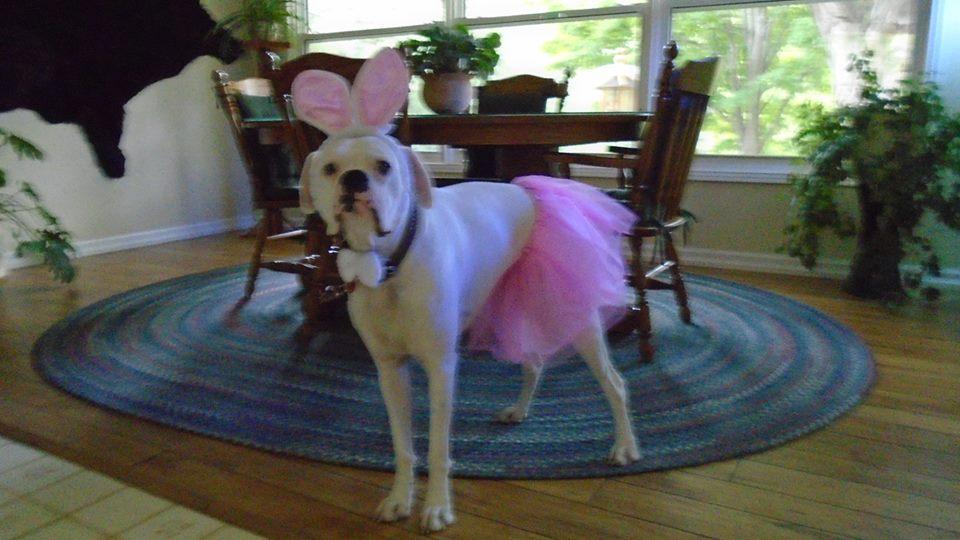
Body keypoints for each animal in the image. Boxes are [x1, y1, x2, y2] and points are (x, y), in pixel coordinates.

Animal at [292, 49, 636, 532]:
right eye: (328, 169)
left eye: (384, 166)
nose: (355, 180)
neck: (390, 263)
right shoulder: (390, 371)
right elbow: (403, 445)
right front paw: (399, 498)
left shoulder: (440, 369)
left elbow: (437, 447)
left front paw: (437, 506)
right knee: (534, 362)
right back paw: (519, 410)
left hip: (582, 324)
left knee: (615, 384)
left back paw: (624, 446)